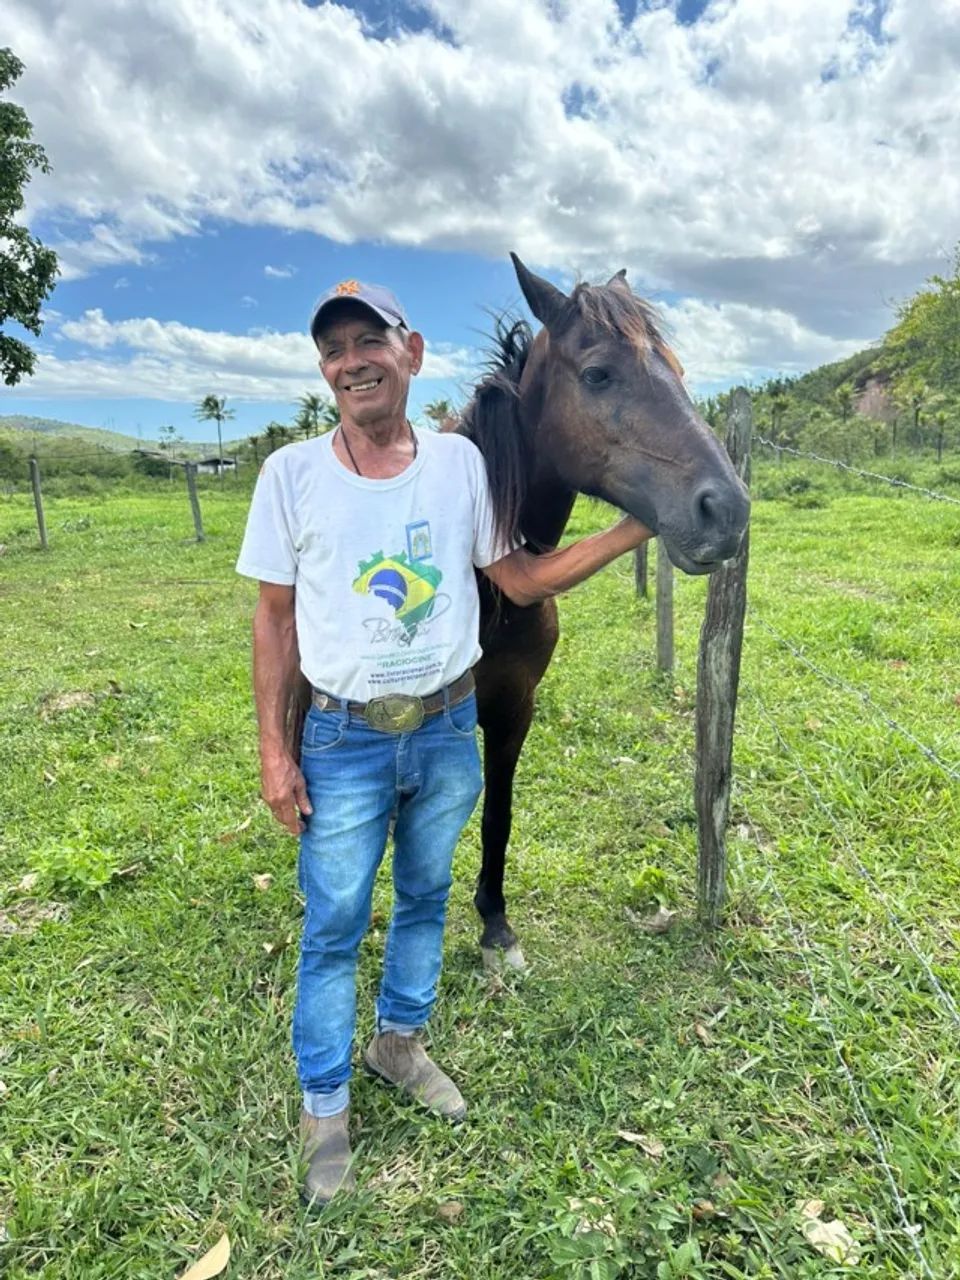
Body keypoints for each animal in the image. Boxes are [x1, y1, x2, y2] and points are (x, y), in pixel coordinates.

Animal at [458, 253, 750, 971]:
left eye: (677, 369)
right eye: (597, 374)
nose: (728, 510)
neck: (487, 584)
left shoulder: (513, 708)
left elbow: (497, 814)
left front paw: (495, 924)